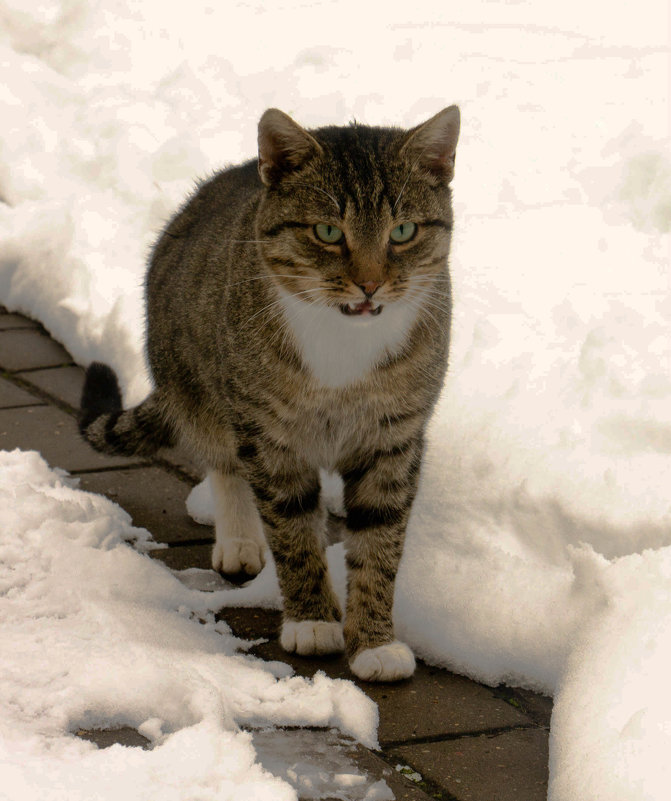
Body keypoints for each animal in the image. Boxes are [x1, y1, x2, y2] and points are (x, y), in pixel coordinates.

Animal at [77, 104, 456, 680]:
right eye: (327, 231)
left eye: (404, 231)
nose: (370, 285)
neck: (345, 342)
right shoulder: (268, 430)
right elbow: (293, 528)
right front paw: (313, 622)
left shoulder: (394, 435)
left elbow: (380, 537)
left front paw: (375, 642)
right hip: (205, 388)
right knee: (225, 462)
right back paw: (239, 540)